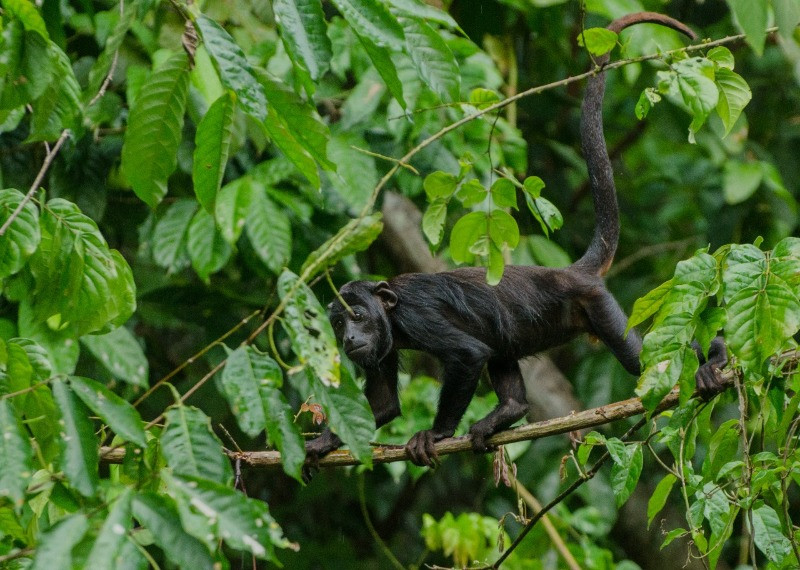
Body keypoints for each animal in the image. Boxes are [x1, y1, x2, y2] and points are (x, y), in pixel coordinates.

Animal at [310, 12, 728, 466]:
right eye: (337, 324)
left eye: (358, 315)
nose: (349, 339)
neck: (392, 313)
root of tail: (571, 271)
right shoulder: (382, 346)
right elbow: (386, 405)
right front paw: (322, 443)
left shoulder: (418, 316)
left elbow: (468, 354)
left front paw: (437, 434)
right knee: (502, 350)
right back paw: (508, 412)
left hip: (596, 304)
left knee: (645, 360)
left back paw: (715, 359)